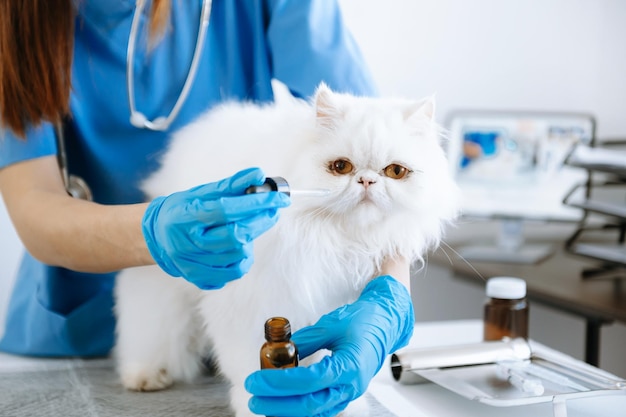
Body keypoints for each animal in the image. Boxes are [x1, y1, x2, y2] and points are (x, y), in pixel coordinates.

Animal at [113, 82, 458, 416]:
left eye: (395, 172)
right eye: (341, 167)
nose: (367, 181)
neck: (336, 240)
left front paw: (334, 399)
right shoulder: (253, 303)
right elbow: (247, 363)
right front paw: (258, 403)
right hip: (163, 295)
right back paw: (145, 375)